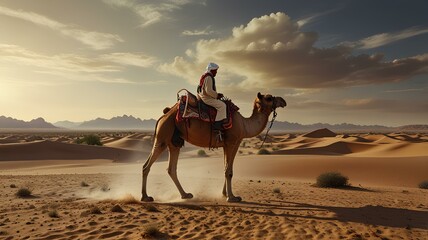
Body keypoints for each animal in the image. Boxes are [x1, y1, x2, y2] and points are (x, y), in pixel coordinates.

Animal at [142, 93, 286, 202]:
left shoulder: (228, 144)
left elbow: (226, 168)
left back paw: (185, 195)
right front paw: (232, 197)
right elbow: (229, 171)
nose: (283, 101)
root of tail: (162, 117)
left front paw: (224, 194)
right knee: (146, 166)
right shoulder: (232, 142)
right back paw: (145, 197)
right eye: (269, 98)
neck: (244, 125)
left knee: (171, 169)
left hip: (174, 142)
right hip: (163, 136)